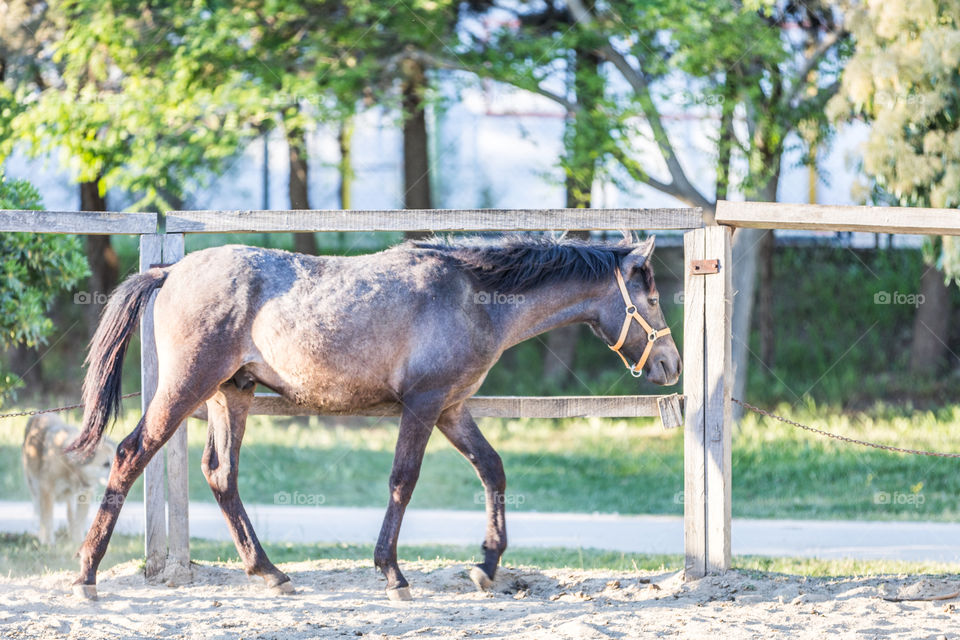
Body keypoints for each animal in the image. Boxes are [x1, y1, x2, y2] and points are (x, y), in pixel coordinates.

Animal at [21, 416, 114, 544]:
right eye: (106, 464)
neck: (72, 469)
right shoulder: (46, 490)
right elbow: (47, 517)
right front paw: (48, 542)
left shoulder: (85, 493)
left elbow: (79, 519)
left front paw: (78, 541)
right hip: (34, 487)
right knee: (39, 511)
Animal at [67, 234, 684, 600]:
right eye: (652, 299)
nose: (671, 365)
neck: (473, 295)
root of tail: (169, 272)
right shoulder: (424, 404)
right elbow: (402, 481)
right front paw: (393, 574)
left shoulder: (451, 408)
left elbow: (493, 469)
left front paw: (485, 567)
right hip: (185, 388)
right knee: (130, 454)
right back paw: (87, 575)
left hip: (230, 395)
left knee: (221, 475)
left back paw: (270, 572)